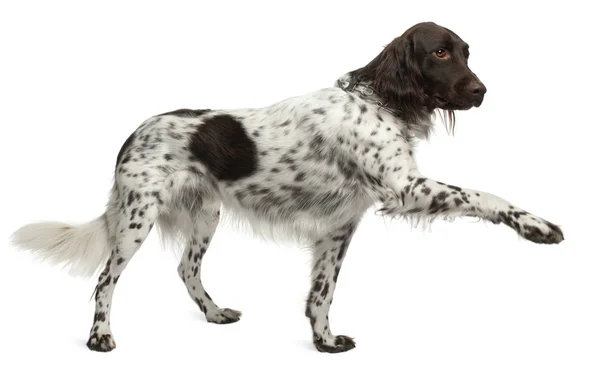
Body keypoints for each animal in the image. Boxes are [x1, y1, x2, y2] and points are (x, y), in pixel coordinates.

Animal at [9, 21, 564, 354]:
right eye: (441, 52)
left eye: (467, 53)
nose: (481, 91)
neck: (379, 101)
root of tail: (133, 133)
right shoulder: (405, 188)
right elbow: (486, 196)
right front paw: (538, 226)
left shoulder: (340, 227)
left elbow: (321, 293)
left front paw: (324, 342)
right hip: (136, 218)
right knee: (106, 279)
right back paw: (100, 337)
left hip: (205, 216)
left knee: (186, 269)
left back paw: (214, 314)